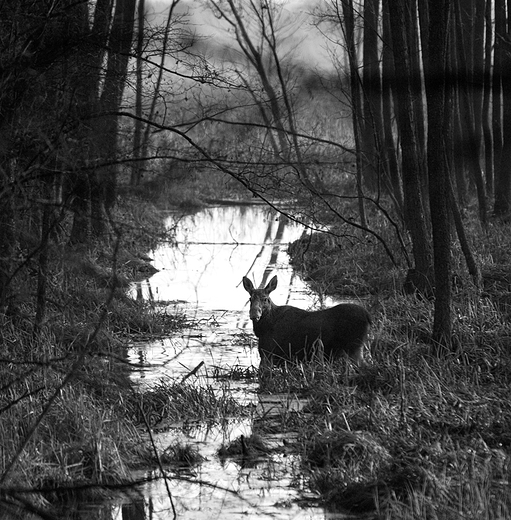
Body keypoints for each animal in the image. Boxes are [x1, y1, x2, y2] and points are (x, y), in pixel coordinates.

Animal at [244, 276, 372, 366]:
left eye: (265, 299)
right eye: (250, 299)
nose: (254, 314)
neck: (263, 328)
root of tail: (368, 316)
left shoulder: (267, 354)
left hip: (353, 347)